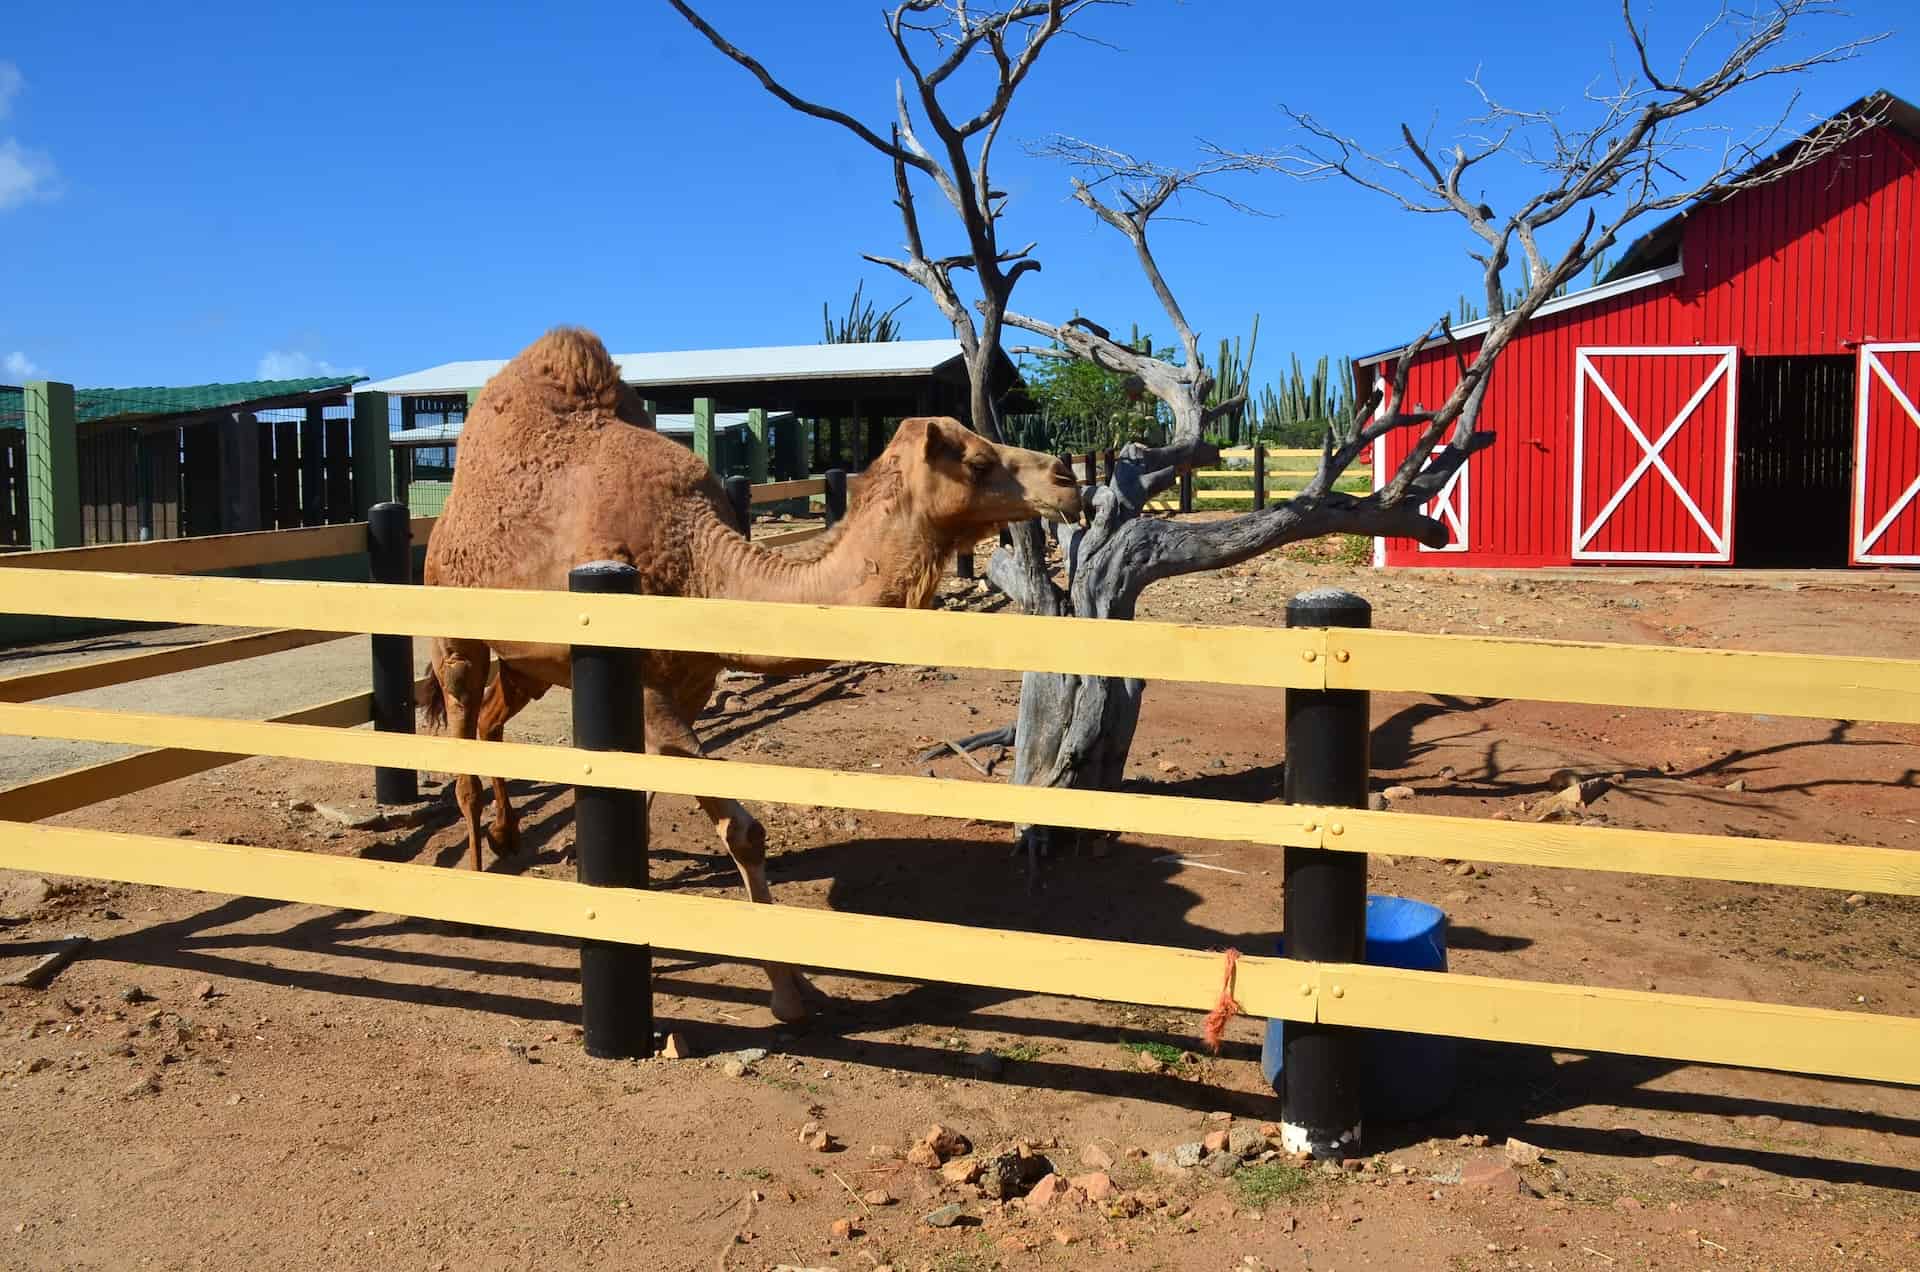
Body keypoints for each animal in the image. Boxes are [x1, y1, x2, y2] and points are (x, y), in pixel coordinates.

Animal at [420, 330, 1082, 1029]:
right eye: (979, 462)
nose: (1067, 479)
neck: (699, 562)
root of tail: (445, 516)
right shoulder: (651, 696)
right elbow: (745, 830)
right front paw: (790, 994)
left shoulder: (687, 688)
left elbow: (649, 806)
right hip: (453, 631)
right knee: (462, 732)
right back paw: (471, 895)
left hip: (531, 663)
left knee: (493, 719)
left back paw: (508, 835)